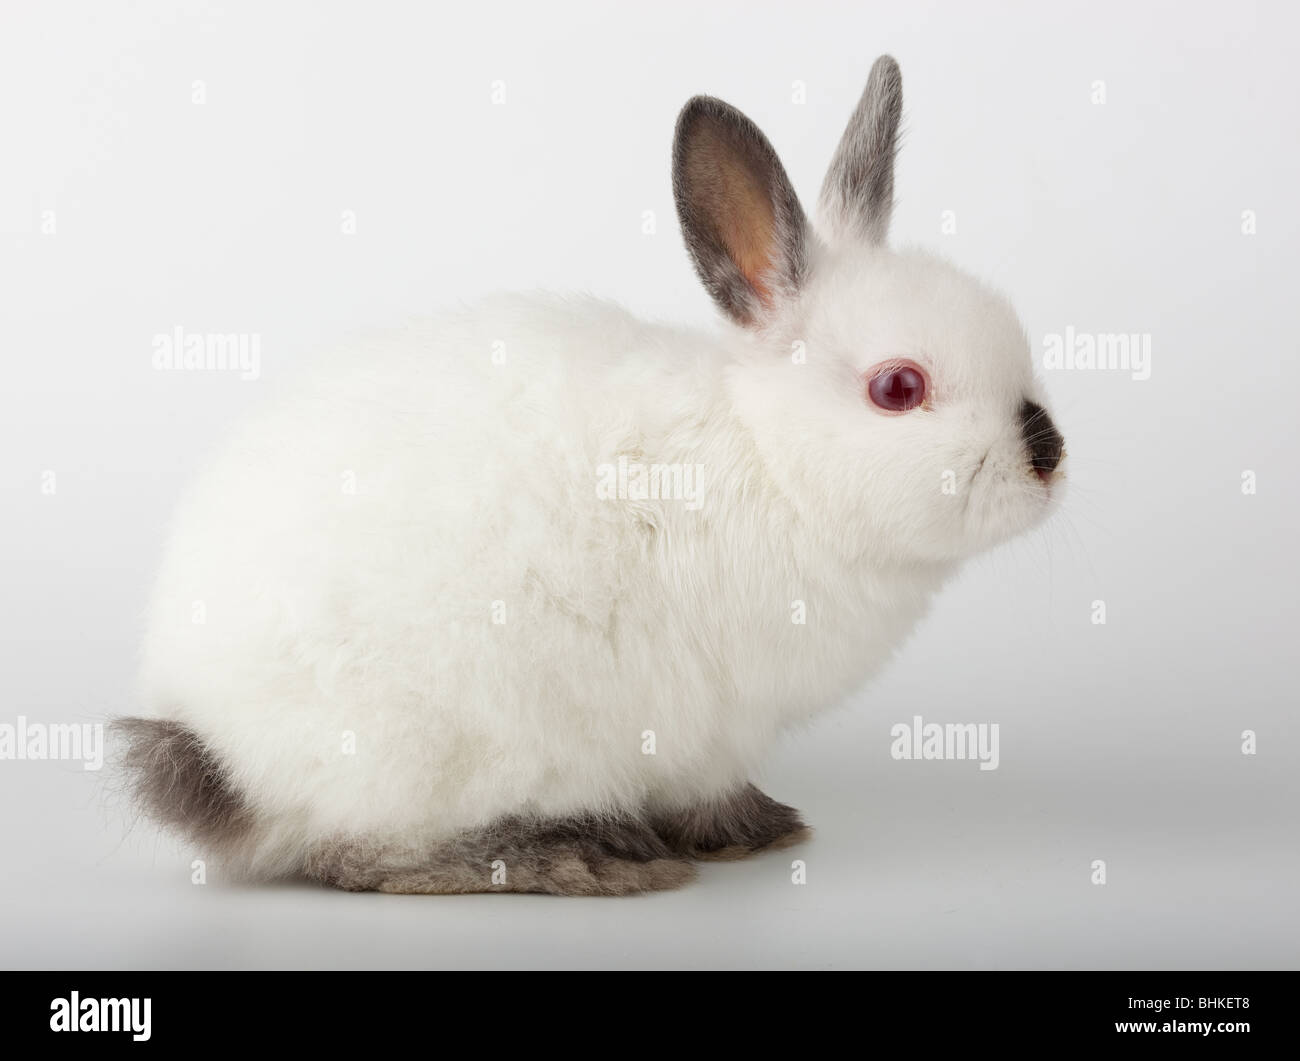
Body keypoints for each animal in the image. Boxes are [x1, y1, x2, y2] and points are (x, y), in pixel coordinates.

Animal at [118, 55, 1066, 895]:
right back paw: (578, 858)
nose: (1048, 455)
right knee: (357, 852)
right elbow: (705, 787)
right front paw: (740, 828)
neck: (771, 456)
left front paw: (763, 824)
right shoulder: (714, 727)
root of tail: (216, 747)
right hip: (432, 748)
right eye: (898, 388)